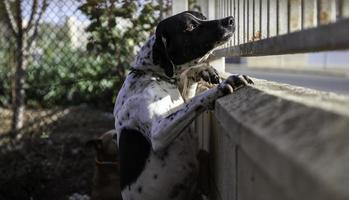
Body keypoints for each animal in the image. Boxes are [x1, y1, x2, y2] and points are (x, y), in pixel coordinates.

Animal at [114, 10, 253, 200]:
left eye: (202, 17)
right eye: (190, 27)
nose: (230, 20)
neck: (152, 75)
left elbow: (190, 92)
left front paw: (204, 71)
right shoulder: (158, 133)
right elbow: (196, 100)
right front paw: (223, 85)